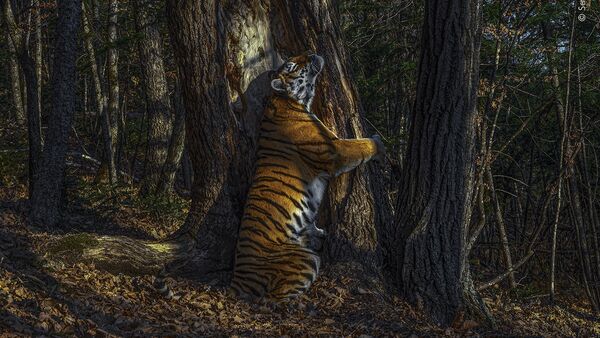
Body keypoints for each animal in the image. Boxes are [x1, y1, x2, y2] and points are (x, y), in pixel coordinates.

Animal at [230, 52, 384, 302]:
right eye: (292, 65)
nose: (312, 53)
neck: (288, 100)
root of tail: (237, 280)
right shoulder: (334, 149)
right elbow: (360, 145)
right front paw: (379, 144)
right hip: (305, 260)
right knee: (275, 299)